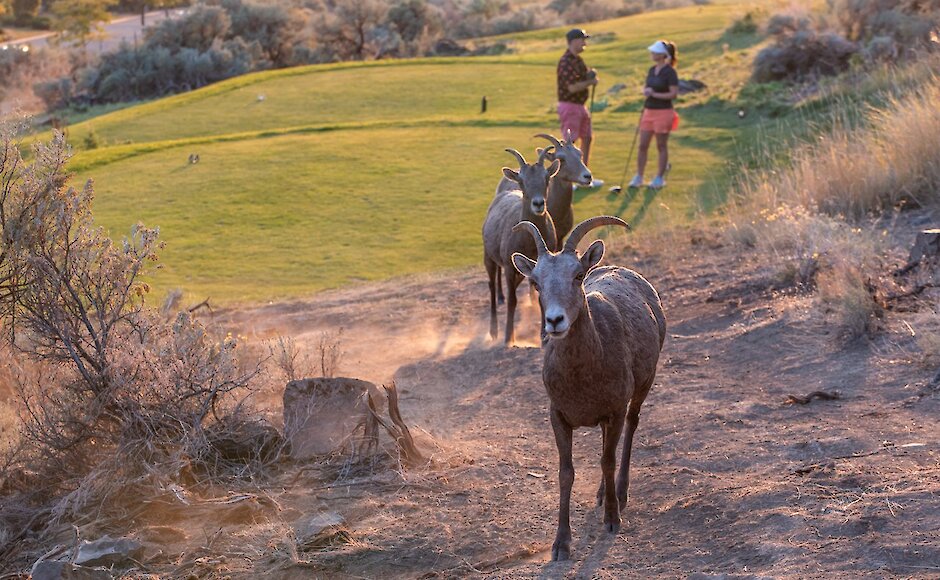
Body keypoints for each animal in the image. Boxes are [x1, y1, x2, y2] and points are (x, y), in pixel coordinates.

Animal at [484, 147, 560, 344]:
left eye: (546, 178)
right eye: (522, 181)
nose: (538, 204)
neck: (529, 242)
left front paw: (543, 336)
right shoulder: (510, 268)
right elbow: (512, 301)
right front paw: (508, 338)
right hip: (488, 257)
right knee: (491, 286)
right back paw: (493, 331)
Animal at [510, 215, 664, 560]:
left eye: (578, 275)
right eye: (536, 282)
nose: (555, 321)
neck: (582, 376)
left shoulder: (615, 410)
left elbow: (607, 461)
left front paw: (612, 520)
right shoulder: (558, 417)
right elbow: (566, 473)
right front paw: (561, 545)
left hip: (642, 389)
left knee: (630, 430)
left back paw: (619, 494)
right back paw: (603, 494)